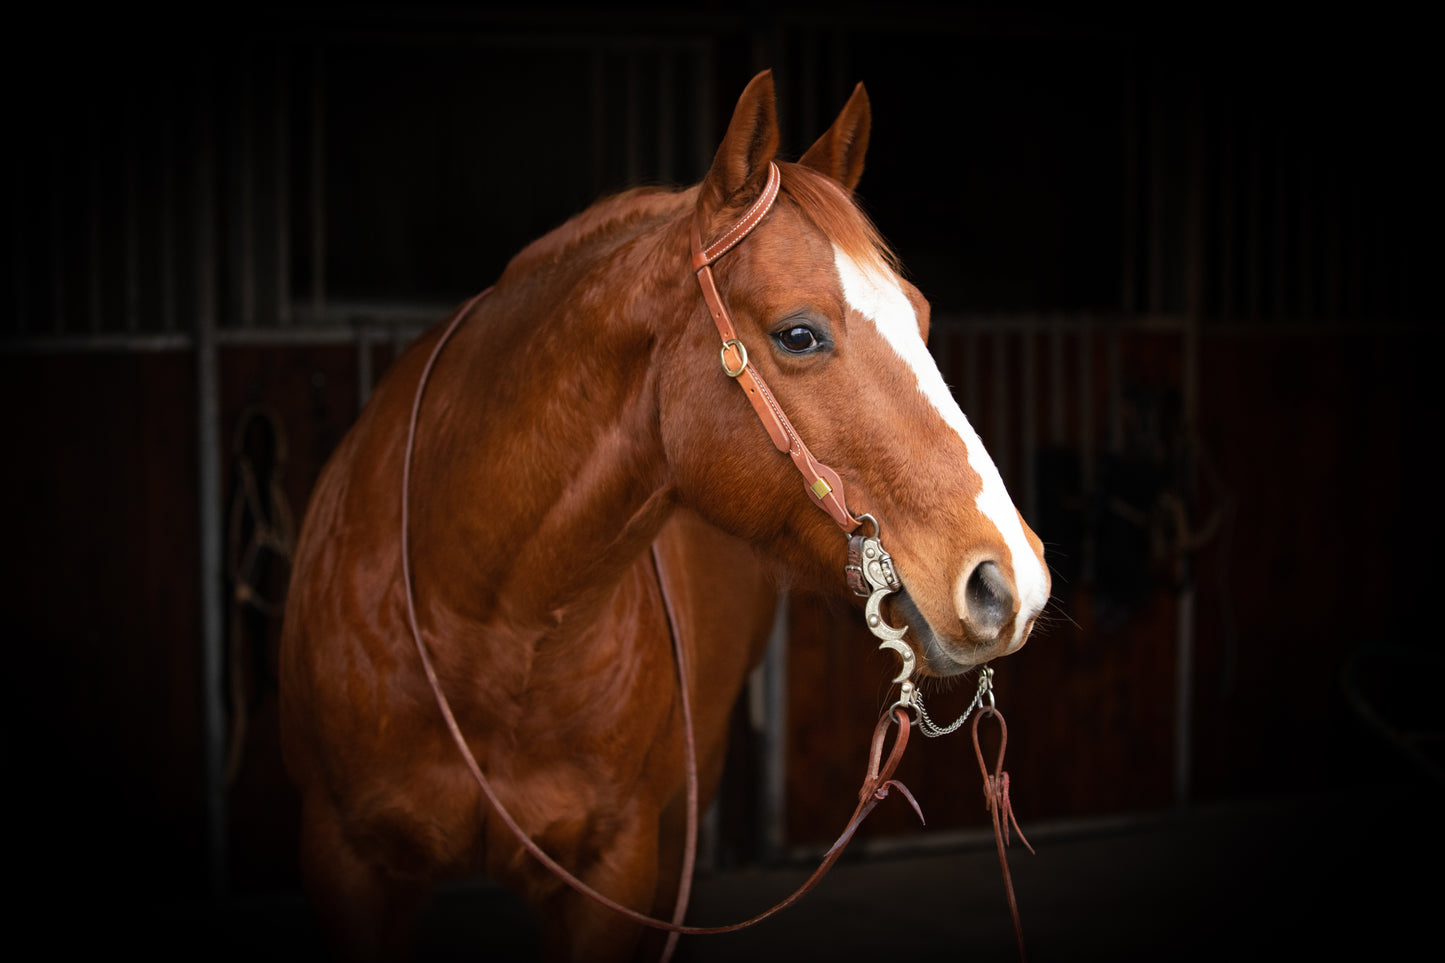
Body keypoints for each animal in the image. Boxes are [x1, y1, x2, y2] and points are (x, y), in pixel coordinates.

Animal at [278, 71, 1051, 954]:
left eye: (919, 316)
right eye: (798, 334)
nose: (1011, 581)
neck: (479, 621)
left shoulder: (615, 870)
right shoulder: (344, 861)